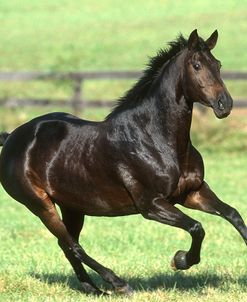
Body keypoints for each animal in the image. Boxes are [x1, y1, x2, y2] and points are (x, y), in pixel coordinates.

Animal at [0, 30, 247, 294]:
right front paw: (180, 260)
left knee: (68, 246)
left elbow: (232, 214)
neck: (155, 138)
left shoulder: (192, 192)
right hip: (40, 204)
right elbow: (196, 227)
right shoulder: (151, 205)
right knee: (72, 246)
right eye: (197, 65)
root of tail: (12, 138)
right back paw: (118, 284)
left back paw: (93, 289)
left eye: (218, 65)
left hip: (72, 206)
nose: (225, 104)